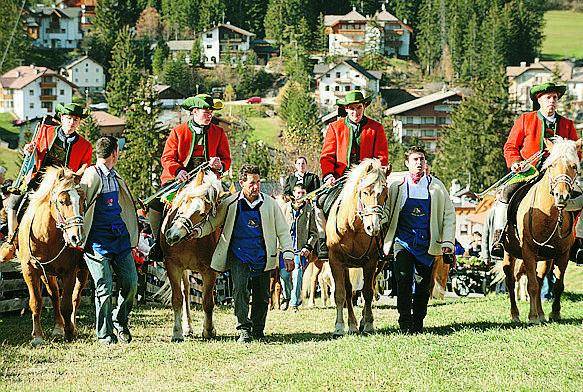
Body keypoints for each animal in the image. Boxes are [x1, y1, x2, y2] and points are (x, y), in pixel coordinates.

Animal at [17, 167, 88, 344]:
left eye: (83, 199)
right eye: (62, 201)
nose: (77, 237)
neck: (45, 237)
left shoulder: (70, 272)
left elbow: (67, 304)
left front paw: (69, 331)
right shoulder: (30, 271)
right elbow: (36, 302)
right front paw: (38, 336)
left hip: (82, 272)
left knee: (76, 298)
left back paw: (72, 325)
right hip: (47, 274)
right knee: (54, 294)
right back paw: (58, 327)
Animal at [161, 170, 222, 342]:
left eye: (201, 214)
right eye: (183, 202)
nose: (172, 235)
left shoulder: (209, 270)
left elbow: (207, 302)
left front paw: (208, 330)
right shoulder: (173, 266)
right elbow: (177, 299)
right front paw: (177, 332)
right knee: (186, 291)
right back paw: (187, 328)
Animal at [326, 158, 390, 336]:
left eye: (385, 195)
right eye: (365, 192)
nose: (373, 228)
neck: (352, 228)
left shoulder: (371, 262)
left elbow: (367, 292)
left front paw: (368, 323)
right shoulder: (336, 261)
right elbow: (341, 293)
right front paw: (339, 326)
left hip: (379, 264)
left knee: (371, 287)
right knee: (349, 292)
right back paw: (353, 324)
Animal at [504, 136, 580, 324]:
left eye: (574, 166)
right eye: (551, 165)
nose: (562, 196)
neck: (548, 215)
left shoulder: (562, 254)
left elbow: (557, 285)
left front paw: (554, 313)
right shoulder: (528, 251)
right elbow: (531, 285)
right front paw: (532, 317)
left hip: (545, 258)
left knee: (539, 280)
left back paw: (541, 313)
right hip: (509, 253)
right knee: (511, 281)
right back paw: (515, 314)